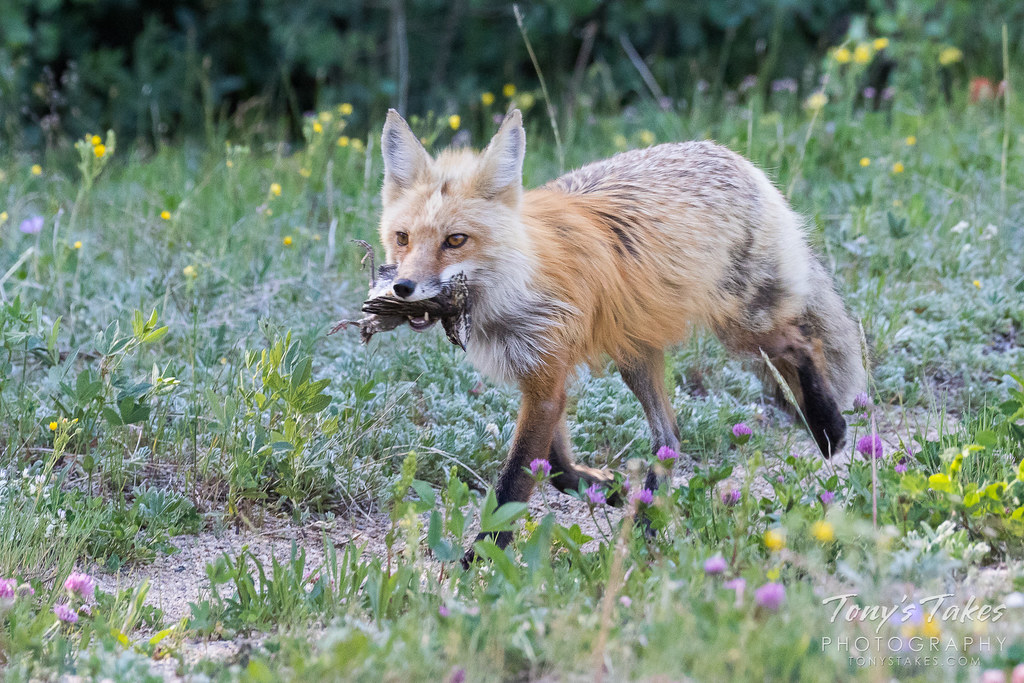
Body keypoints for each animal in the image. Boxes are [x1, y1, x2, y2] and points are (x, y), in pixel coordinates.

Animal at [376, 107, 864, 552]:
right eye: (403, 238)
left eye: (455, 240)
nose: (403, 287)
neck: (514, 286)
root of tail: (734, 158)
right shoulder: (538, 377)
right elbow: (553, 466)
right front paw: (606, 490)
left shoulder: (546, 379)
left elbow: (513, 484)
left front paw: (480, 561)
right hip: (638, 355)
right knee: (670, 438)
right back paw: (644, 521)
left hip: (742, 327)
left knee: (803, 341)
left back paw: (829, 428)